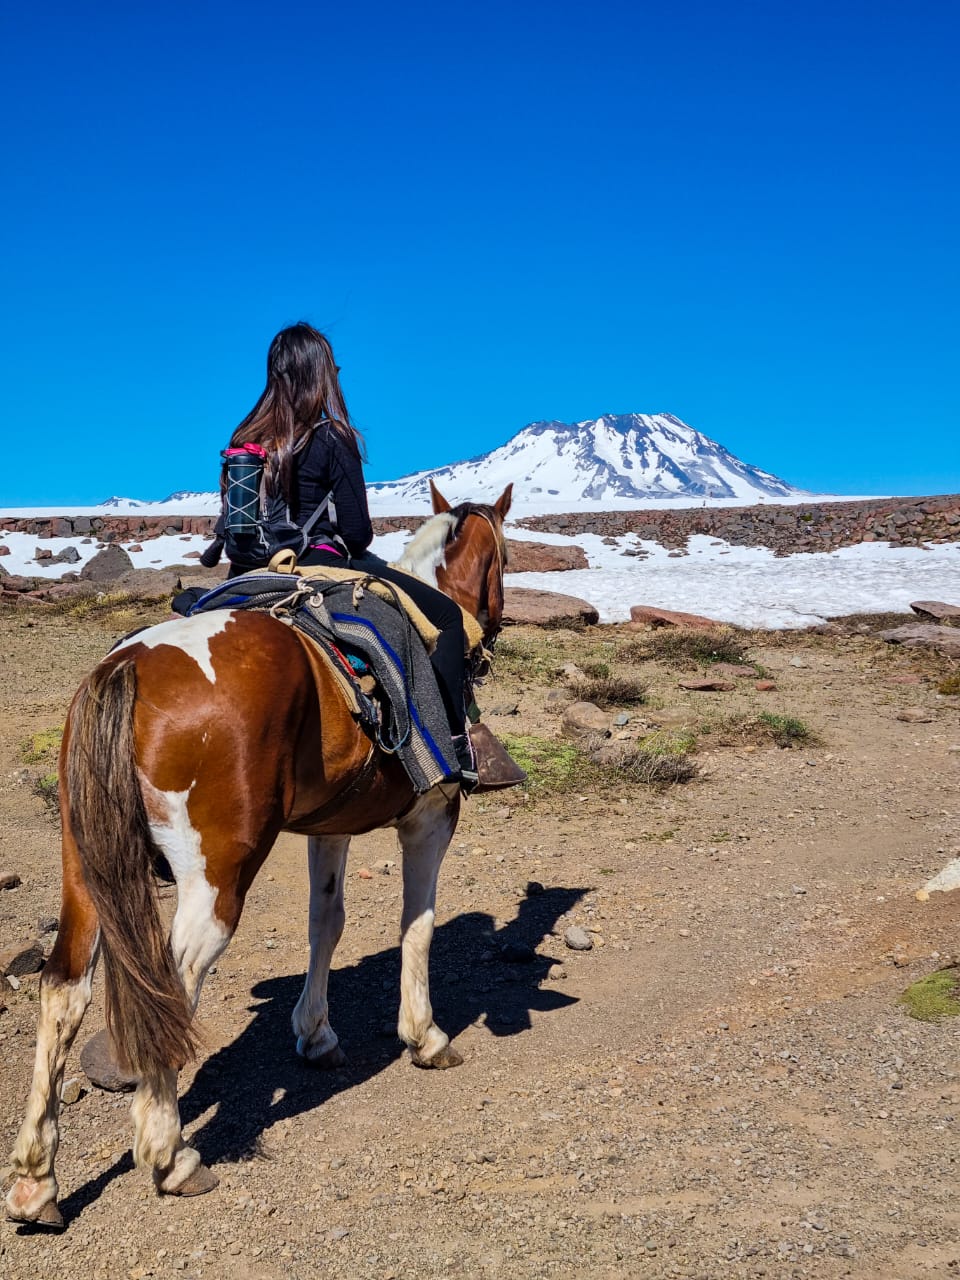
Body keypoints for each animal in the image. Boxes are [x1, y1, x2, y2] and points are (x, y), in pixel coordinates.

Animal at [7, 481, 514, 1228]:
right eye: (504, 559)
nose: (492, 636)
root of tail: (128, 664)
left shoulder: (331, 828)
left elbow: (325, 923)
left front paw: (316, 1034)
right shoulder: (430, 818)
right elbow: (416, 925)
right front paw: (424, 1036)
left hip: (85, 869)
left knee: (64, 988)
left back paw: (35, 1181)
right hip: (217, 877)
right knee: (173, 982)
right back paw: (170, 1156)